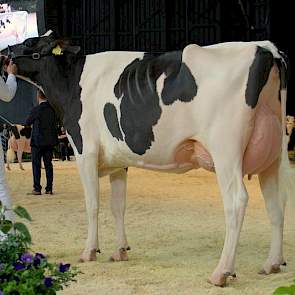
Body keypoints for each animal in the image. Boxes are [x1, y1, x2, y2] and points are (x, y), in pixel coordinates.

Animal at [6, 31, 294, 286]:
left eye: (30, 42)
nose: (5, 53)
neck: (73, 82)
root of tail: (265, 47)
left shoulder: (84, 150)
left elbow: (92, 205)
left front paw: (89, 251)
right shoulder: (118, 161)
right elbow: (118, 205)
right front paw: (120, 250)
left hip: (226, 150)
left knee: (237, 201)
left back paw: (221, 272)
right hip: (272, 154)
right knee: (276, 203)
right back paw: (272, 263)